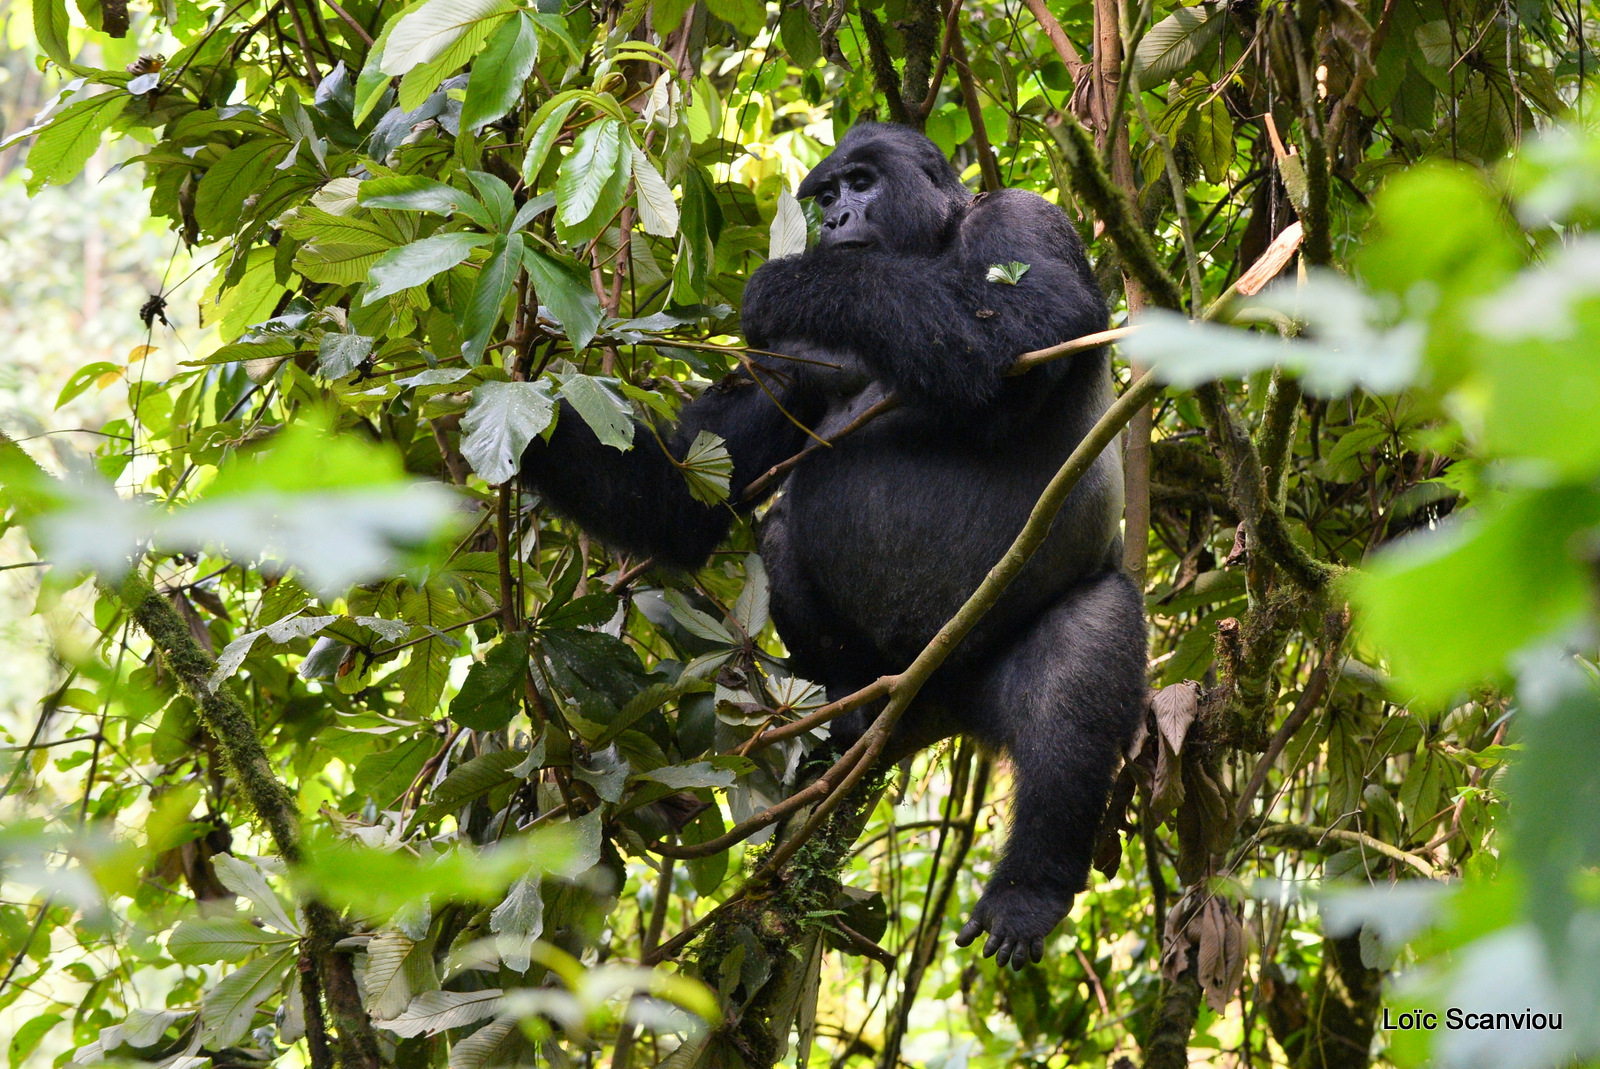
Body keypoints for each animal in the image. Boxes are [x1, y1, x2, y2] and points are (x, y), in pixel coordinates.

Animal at [524, 120, 1152, 966]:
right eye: (823, 194)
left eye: (859, 182)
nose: (833, 220)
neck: (933, 241)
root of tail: (935, 701)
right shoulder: (788, 361)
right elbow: (681, 496)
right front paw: (523, 421)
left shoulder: (1026, 219)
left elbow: (1010, 334)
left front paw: (789, 280)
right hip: (897, 679)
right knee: (784, 536)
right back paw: (847, 708)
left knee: (1080, 662)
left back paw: (1032, 884)